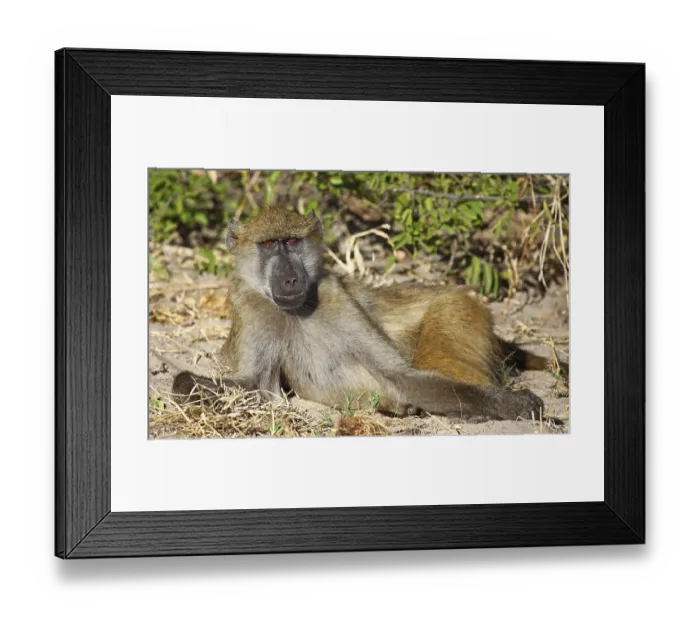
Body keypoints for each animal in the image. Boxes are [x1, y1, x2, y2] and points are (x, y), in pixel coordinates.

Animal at [173, 205, 561, 422]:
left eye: (293, 242)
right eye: (269, 245)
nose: (290, 279)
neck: (295, 312)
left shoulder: (335, 297)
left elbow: (401, 376)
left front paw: (512, 404)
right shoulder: (251, 307)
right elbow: (256, 389)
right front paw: (187, 385)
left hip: (456, 309)